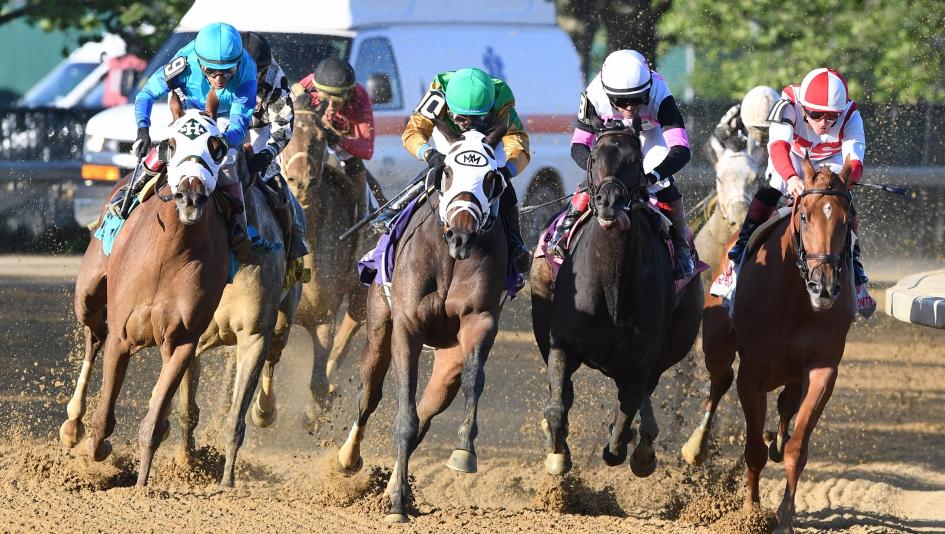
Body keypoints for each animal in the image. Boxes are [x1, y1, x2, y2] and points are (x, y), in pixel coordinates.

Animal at [60, 92, 230, 486]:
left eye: (216, 146)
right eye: (172, 142)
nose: (190, 197)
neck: (170, 252)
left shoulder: (183, 341)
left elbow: (153, 423)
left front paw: (140, 484)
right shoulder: (122, 335)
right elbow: (103, 417)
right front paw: (98, 453)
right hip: (89, 294)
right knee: (93, 336)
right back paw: (72, 424)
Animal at [280, 90, 368, 427]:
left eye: (319, 139)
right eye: (285, 138)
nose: (300, 181)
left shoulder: (323, 315)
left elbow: (318, 379)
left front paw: (317, 406)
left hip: (360, 294)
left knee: (348, 332)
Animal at [335, 122, 510, 523]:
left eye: (490, 177)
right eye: (447, 171)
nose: (461, 235)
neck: (449, 259)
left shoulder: (480, 321)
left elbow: (474, 381)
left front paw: (463, 451)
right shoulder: (408, 328)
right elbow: (403, 414)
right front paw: (398, 505)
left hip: (448, 360)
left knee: (430, 409)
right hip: (378, 327)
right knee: (369, 394)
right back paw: (349, 459)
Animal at [530, 126, 704, 478]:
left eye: (636, 159)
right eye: (595, 157)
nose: (609, 201)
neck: (611, 282)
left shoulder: (642, 359)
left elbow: (622, 425)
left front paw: (631, 447)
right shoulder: (561, 344)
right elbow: (557, 407)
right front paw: (558, 453)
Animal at [682, 157, 856, 531]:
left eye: (846, 219)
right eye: (804, 216)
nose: (824, 287)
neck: (794, 299)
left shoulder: (823, 369)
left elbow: (797, 447)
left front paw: (785, 515)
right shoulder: (752, 374)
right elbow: (752, 450)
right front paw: (750, 511)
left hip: (792, 370)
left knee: (786, 405)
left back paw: (775, 439)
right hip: (716, 341)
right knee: (719, 381)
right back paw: (696, 446)